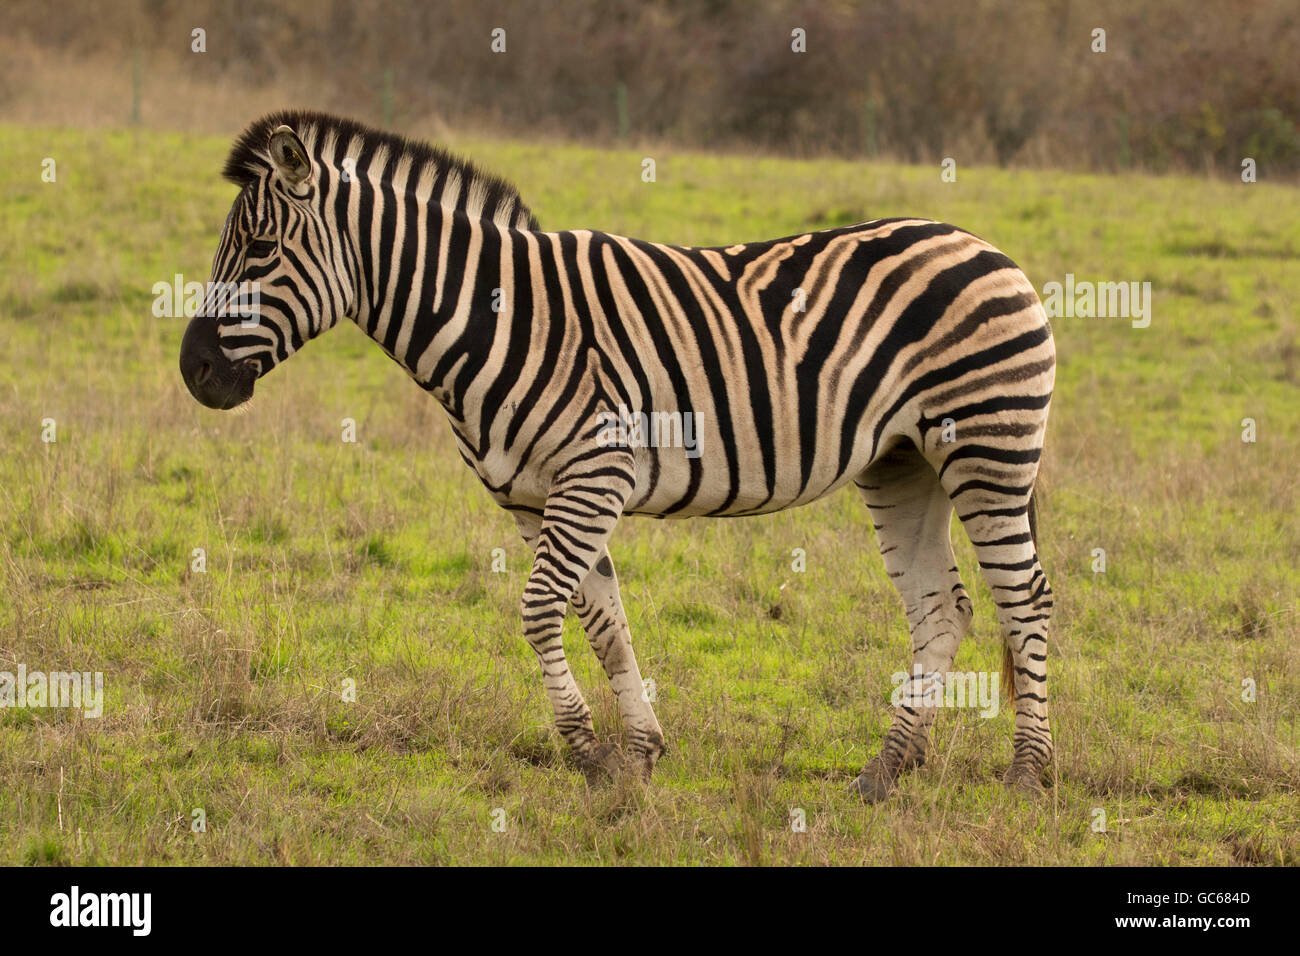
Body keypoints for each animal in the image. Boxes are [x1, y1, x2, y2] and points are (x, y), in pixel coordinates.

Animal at [180, 110, 1055, 801]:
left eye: (259, 249)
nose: (194, 372)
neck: (495, 317)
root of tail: (987, 247)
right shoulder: (537, 496)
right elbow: (601, 620)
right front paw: (637, 752)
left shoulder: (594, 475)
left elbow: (540, 609)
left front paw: (585, 752)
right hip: (903, 462)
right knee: (942, 607)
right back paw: (885, 770)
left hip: (987, 449)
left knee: (1026, 599)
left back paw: (1028, 774)